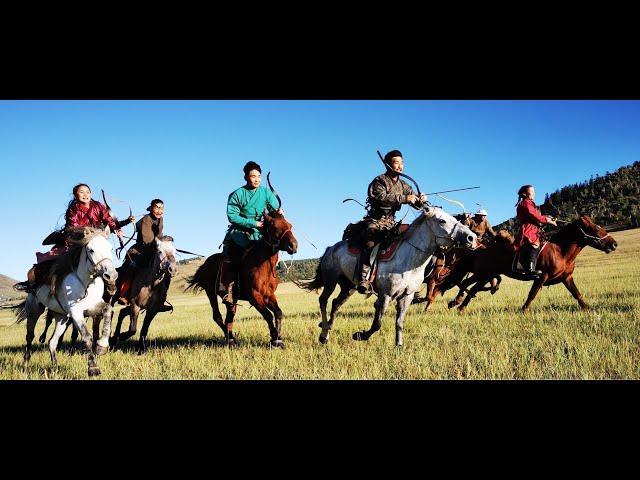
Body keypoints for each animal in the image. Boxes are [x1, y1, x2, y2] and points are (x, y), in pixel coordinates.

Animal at [15, 227, 117, 376]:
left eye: (110, 248)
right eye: (91, 250)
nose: (111, 275)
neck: (86, 283)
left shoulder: (91, 308)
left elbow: (108, 309)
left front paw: (102, 346)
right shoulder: (76, 312)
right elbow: (86, 336)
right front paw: (93, 368)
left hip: (62, 318)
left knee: (52, 342)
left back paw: (55, 367)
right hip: (34, 310)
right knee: (30, 336)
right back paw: (25, 363)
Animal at [182, 212, 298, 346]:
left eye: (290, 225)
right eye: (274, 227)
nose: (293, 246)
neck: (262, 265)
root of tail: (204, 265)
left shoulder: (269, 295)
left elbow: (278, 312)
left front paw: (278, 339)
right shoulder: (254, 297)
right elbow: (268, 315)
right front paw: (274, 338)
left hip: (231, 299)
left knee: (229, 317)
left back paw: (231, 338)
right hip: (210, 293)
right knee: (218, 316)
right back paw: (230, 339)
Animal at [298, 205, 478, 344]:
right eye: (442, 220)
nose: (471, 237)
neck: (408, 260)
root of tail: (330, 249)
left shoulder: (406, 296)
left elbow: (399, 322)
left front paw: (399, 345)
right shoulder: (386, 294)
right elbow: (378, 323)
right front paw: (360, 335)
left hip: (348, 287)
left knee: (336, 304)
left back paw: (327, 331)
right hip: (330, 280)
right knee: (323, 300)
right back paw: (323, 333)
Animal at [448, 216, 616, 314]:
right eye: (595, 229)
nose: (614, 244)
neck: (560, 251)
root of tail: (481, 247)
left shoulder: (566, 277)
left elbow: (577, 294)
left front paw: (587, 309)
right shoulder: (541, 276)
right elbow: (532, 293)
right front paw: (524, 310)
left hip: (485, 275)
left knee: (470, 286)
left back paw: (458, 305)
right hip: (484, 274)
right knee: (469, 285)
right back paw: (458, 304)